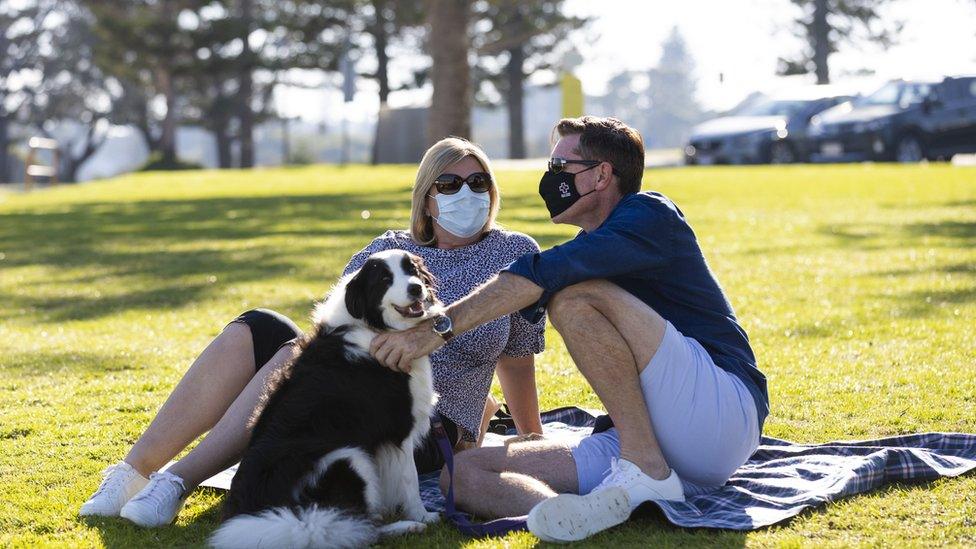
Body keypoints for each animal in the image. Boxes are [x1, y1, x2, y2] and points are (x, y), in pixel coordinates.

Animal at [214, 249, 446, 548]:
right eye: (385, 279)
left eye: (412, 270)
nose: (416, 288)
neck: (373, 326)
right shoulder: (399, 433)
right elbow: (410, 481)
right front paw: (423, 516)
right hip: (349, 457)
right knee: (356, 528)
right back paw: (408, 526)